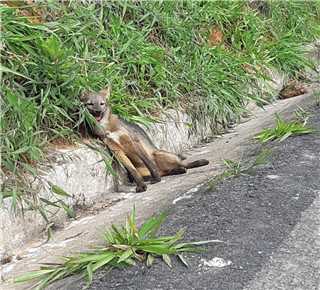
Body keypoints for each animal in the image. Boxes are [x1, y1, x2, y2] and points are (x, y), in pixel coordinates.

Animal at [81, 88, 209, 193]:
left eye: (102, 104)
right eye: (90, 104)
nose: (97, 112)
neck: (107, 127)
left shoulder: (133, 141)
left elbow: (148, 162)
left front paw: (156, 178)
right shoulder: (116, 150)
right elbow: (132, 170)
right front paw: (141, 186)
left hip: (160, 155)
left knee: (183, 164)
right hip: (140, 173)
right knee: (166, 171)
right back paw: (175, 171)